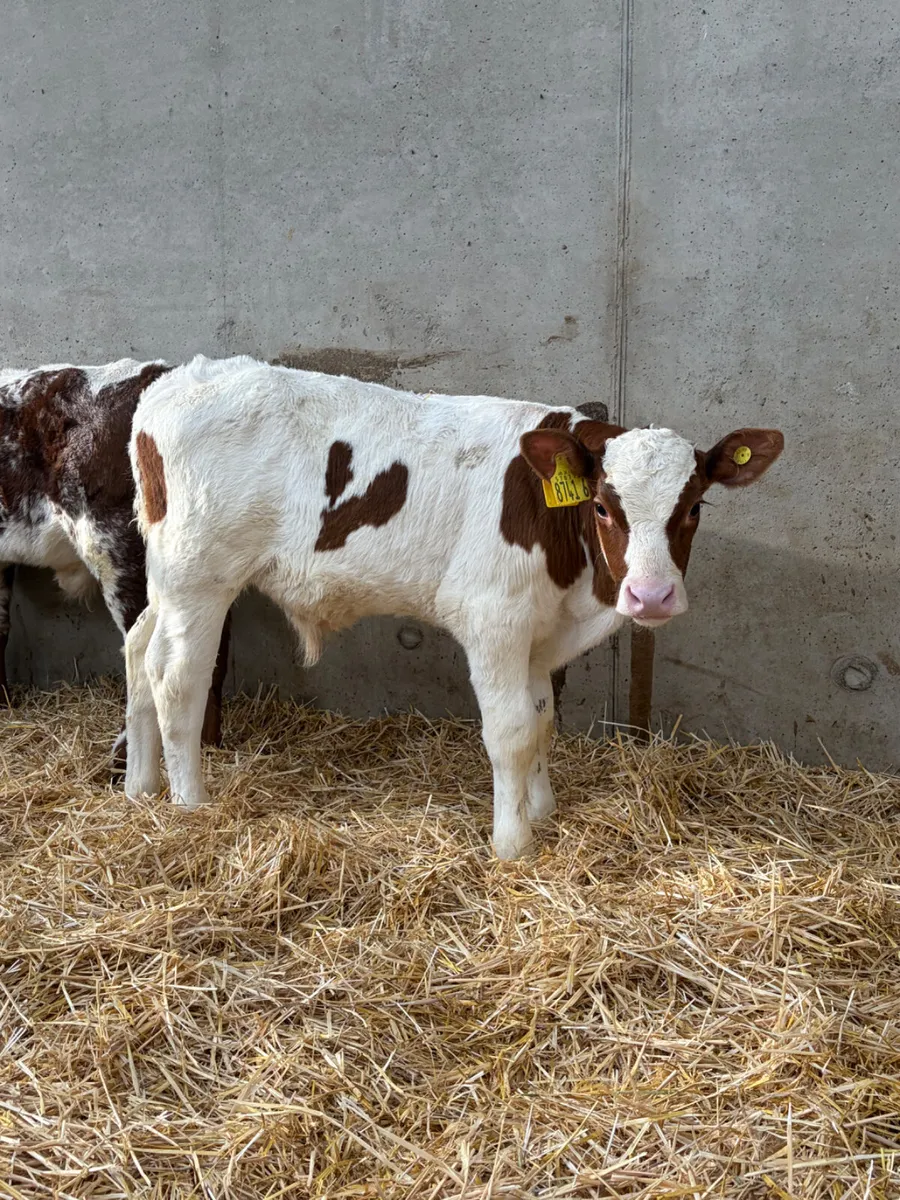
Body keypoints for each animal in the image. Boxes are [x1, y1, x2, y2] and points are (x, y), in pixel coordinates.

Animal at [123, 355, 783, 858]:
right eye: (601, 506)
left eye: (695, 506)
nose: (651, 595)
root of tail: (178, 378)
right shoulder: (494, 619)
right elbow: (511, 731)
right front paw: (514, 842)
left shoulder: (540, 630)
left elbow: (542, 719)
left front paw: (541, 809)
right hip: (200, 578)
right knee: (177, 679)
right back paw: (191, 804)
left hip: (167, 580)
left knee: (138, 653)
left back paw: (140, 788)